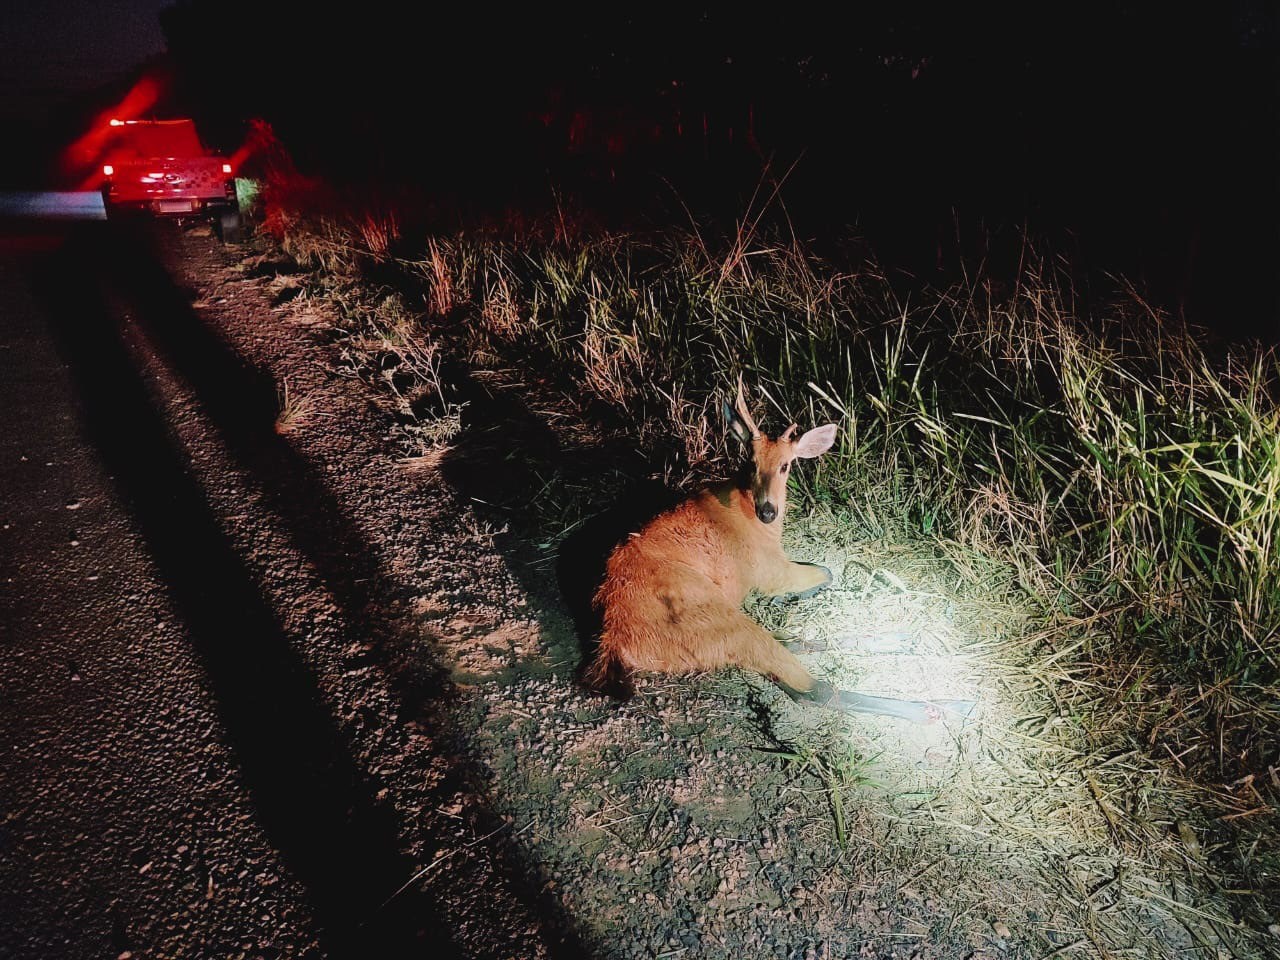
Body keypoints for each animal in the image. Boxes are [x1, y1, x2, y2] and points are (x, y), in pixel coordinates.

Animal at [586, 378, 972, 727]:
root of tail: (615, 644)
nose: (768, 510)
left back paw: (910, 640)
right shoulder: (769, 570)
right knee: (813, 687)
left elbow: (824, 571)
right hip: (715, 620)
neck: (754, 520)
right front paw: (787, 596)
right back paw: (946, 707)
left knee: (790, 645)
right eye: (750, 461)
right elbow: (826, 571)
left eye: (786, 465)